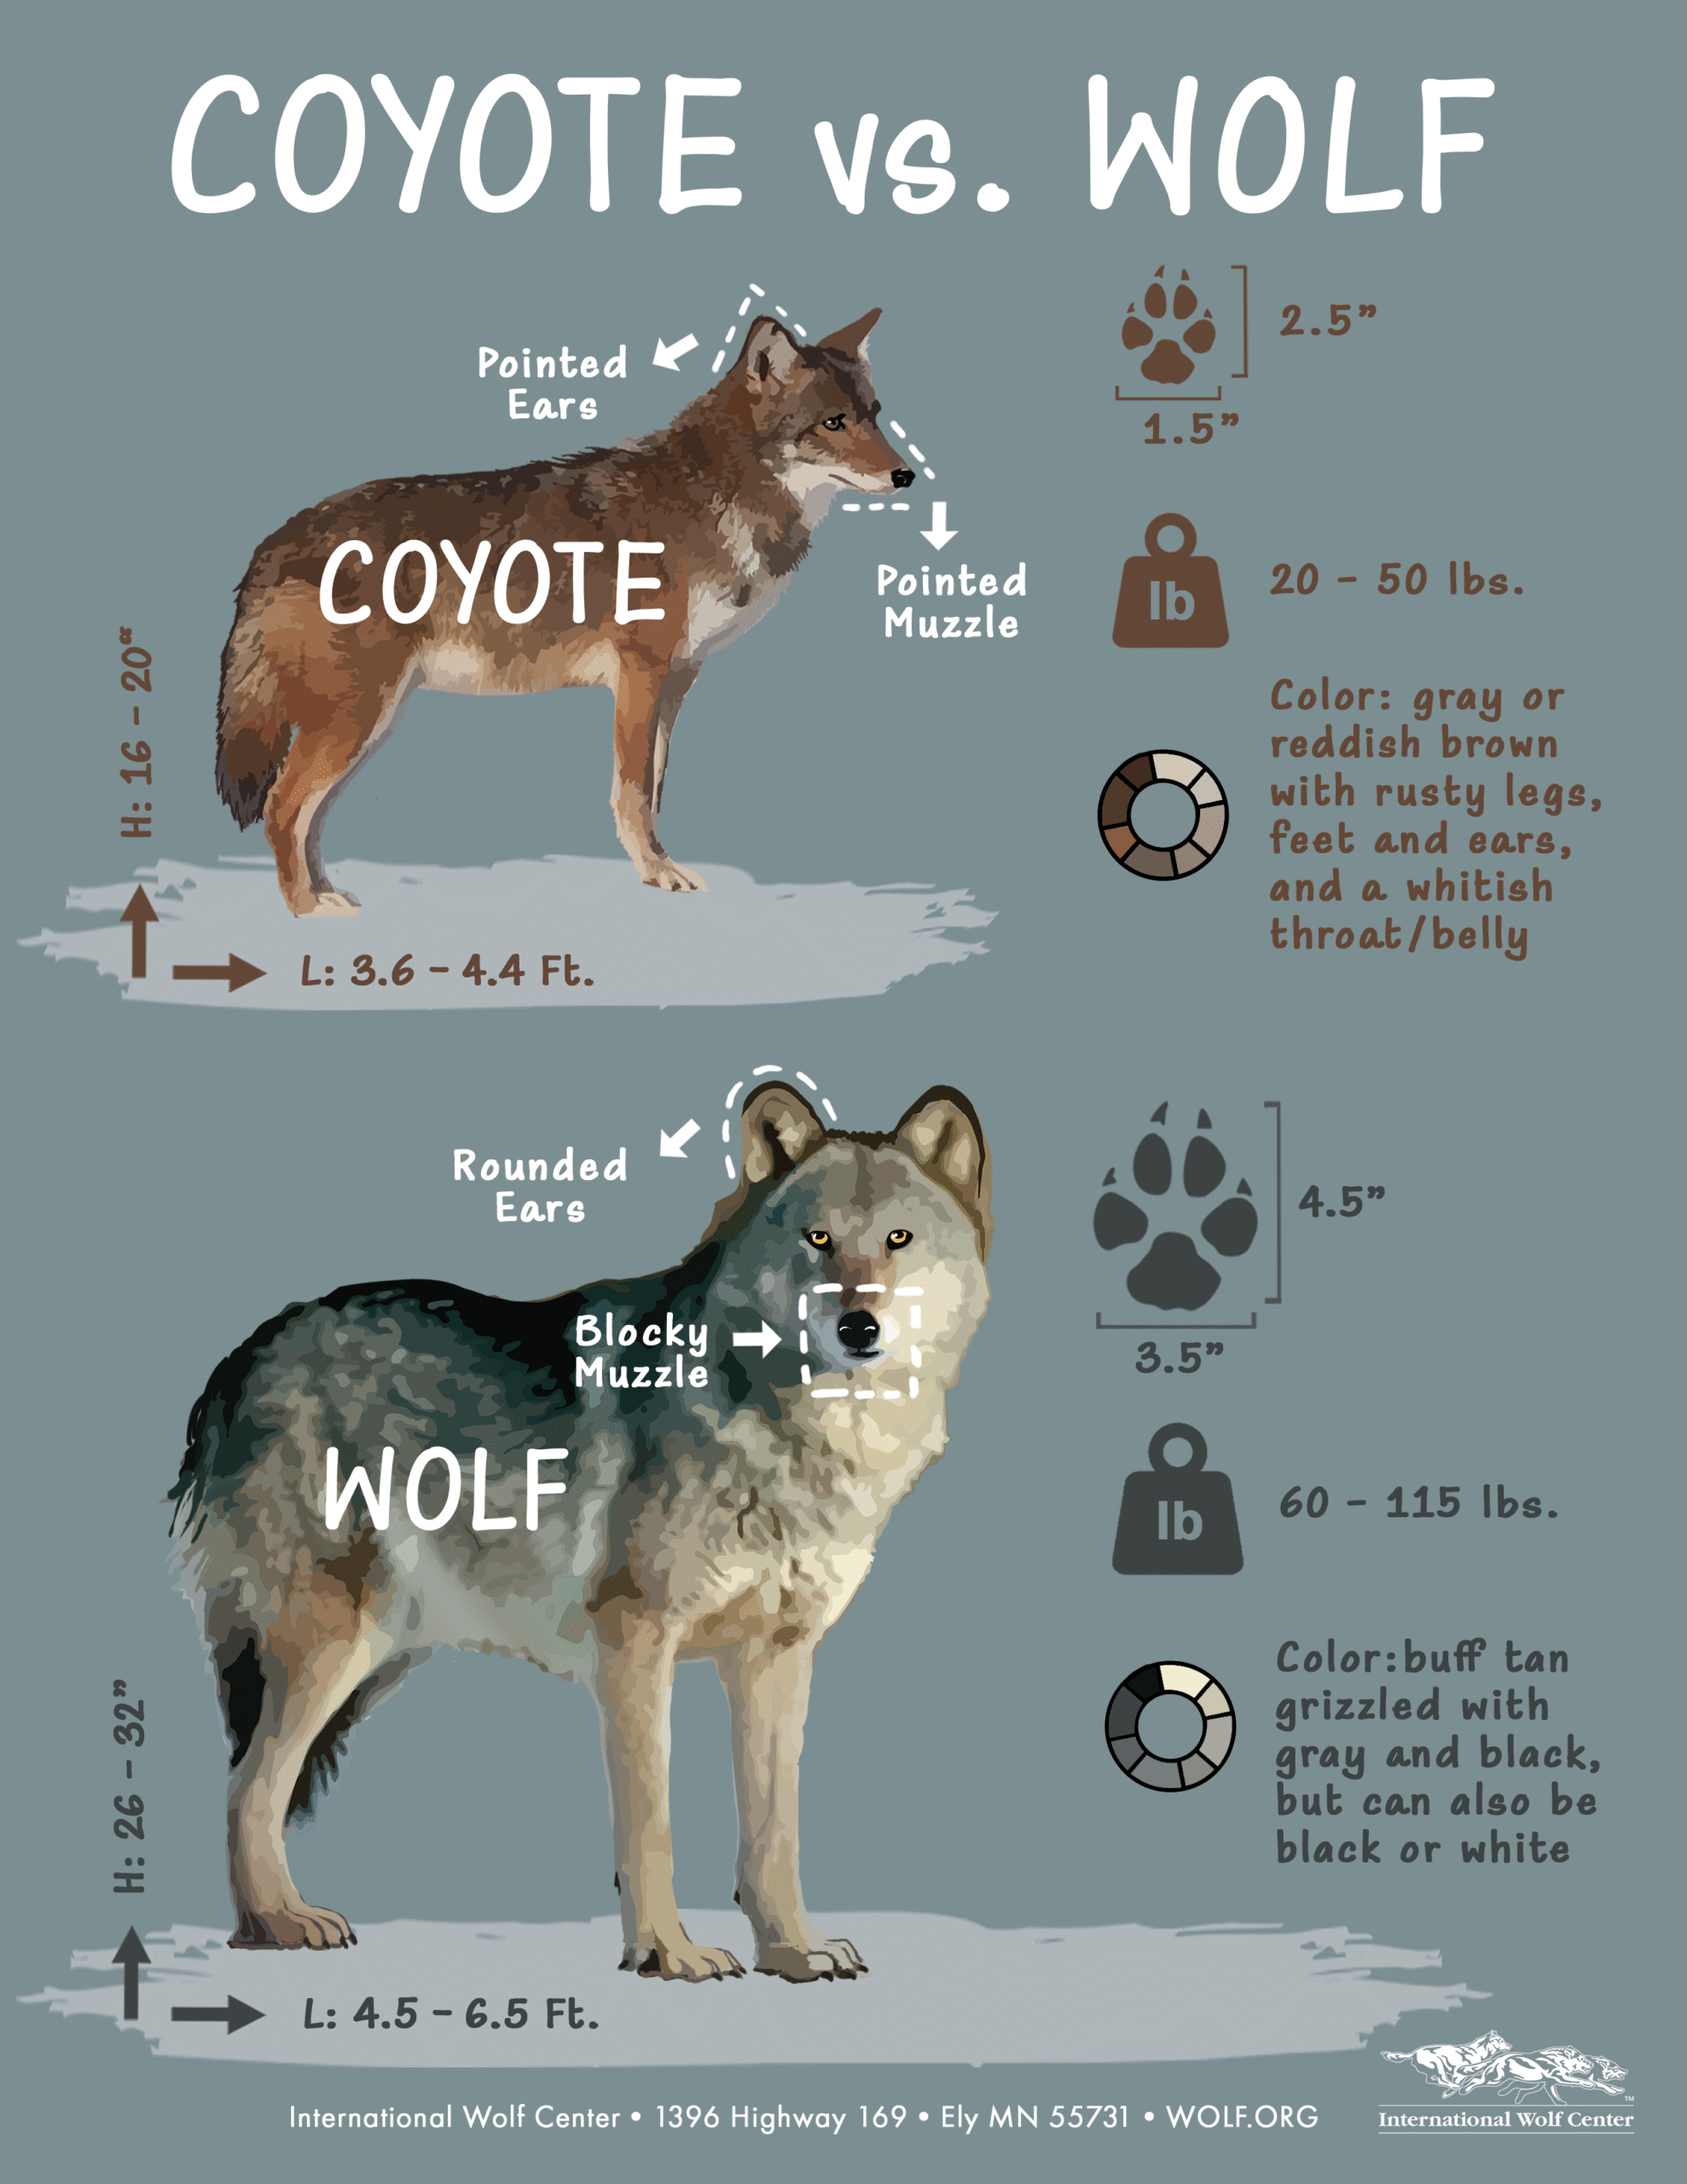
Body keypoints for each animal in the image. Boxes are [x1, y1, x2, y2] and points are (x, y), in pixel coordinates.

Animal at [170, 1084, 990, 1981]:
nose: (858, 1328)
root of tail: (244, 1353)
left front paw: (793, 1952)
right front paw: (669, 1955)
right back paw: (283, 1922)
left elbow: (775, 1834)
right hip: (332, 1642)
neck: (795, 1435)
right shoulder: (635, 1642)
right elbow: (652, 1824)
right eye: (819, 1241)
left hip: (381, 1654)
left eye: (897, 1242)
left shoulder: (776, 1657)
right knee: (246, 1789)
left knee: (250, 1782)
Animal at [214, 310, 913, 916]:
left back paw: (327, 893)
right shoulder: (641, 674)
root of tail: (273, 539)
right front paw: (657, 873)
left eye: (875, 417)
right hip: (358, 718)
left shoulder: (678, 681)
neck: (723, 499)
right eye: (833, 423)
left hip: (370, 723)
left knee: (307, 818)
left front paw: (660, 865)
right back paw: (308, 912)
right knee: (282, 808)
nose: (906, 476)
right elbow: (632, 792)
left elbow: (655, 789)